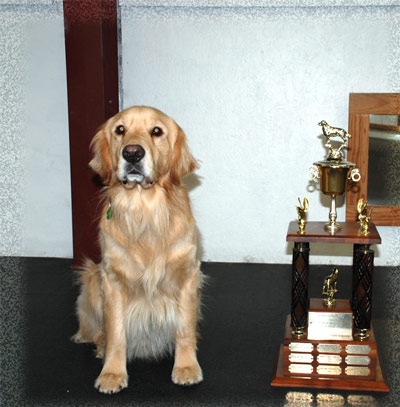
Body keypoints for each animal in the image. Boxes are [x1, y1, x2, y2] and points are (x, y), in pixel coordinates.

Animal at [72, 106, 203, 396]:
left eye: (156, 131)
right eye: (120, 129)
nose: (132, 153)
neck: (145, 213)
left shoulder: (187, 276)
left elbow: (184, 330)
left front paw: (187, 367)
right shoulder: (112, 281)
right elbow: (116, 334)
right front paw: (112, 373)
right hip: (91, 278)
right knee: (98, 332)